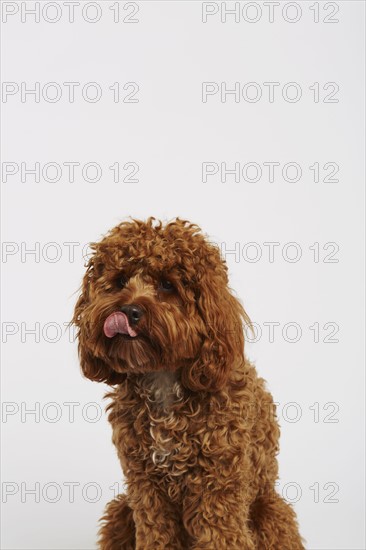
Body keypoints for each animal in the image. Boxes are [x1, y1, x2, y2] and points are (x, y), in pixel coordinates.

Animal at [73, 218, 304, 548]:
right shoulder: (145, 488)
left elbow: (221, 536)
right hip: (121, 510)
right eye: (120, 280)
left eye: (167, 284)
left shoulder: (218, 486)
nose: (128, 311)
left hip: (271, 511)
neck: (164, 380)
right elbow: (156, 535)